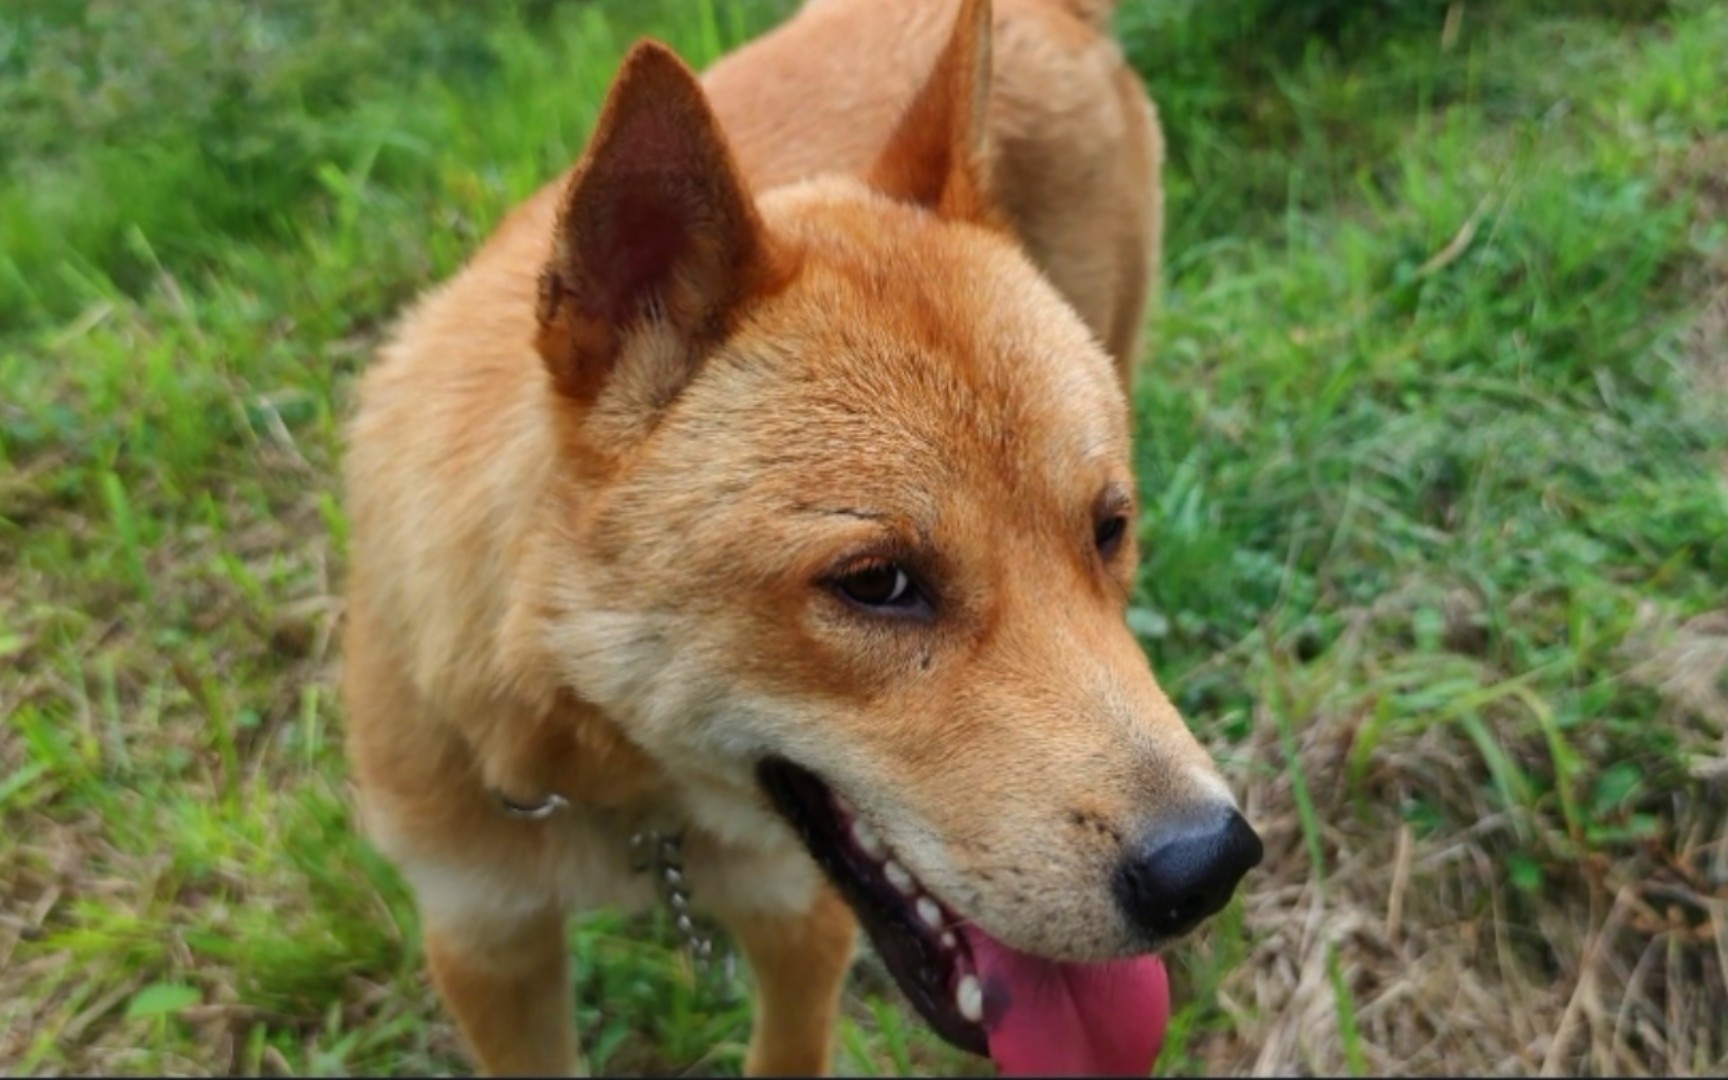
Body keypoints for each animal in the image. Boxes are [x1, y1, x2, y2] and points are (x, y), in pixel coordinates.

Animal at [340, 0, 1257, 1071]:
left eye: (1108, 528)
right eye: (877, 582)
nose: (1210, 866)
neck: (627, 795)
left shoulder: (799, 917)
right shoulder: (485, 939)